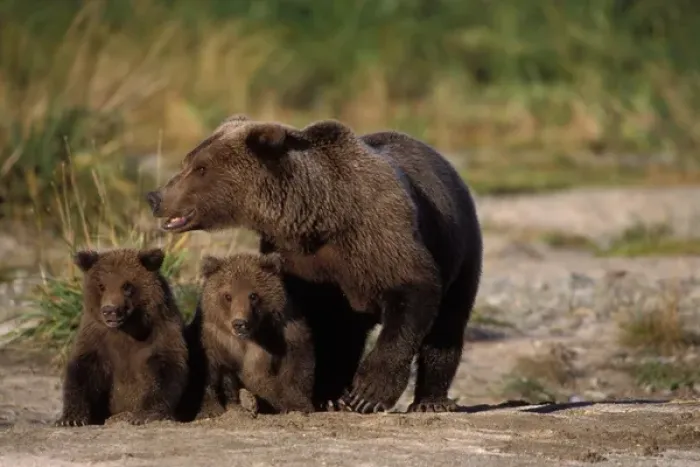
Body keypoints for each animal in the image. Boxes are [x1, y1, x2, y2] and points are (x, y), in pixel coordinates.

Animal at [55, 247, 190, 426]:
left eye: (126, 285)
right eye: (101, 285)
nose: (110, 310)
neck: (128, 328)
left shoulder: (160, 333)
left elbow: (165, 371)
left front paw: (144, 415)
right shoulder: (97, 337)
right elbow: (83, 371)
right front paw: (71, 418)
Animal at [197, 251, 316, 414]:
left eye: (253, 295)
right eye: (228, 296)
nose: (239, 323)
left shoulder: (285, 332)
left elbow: (296, 365)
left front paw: (297, 405)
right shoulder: (216, 339)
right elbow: (210, 372)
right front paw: (210, 408)